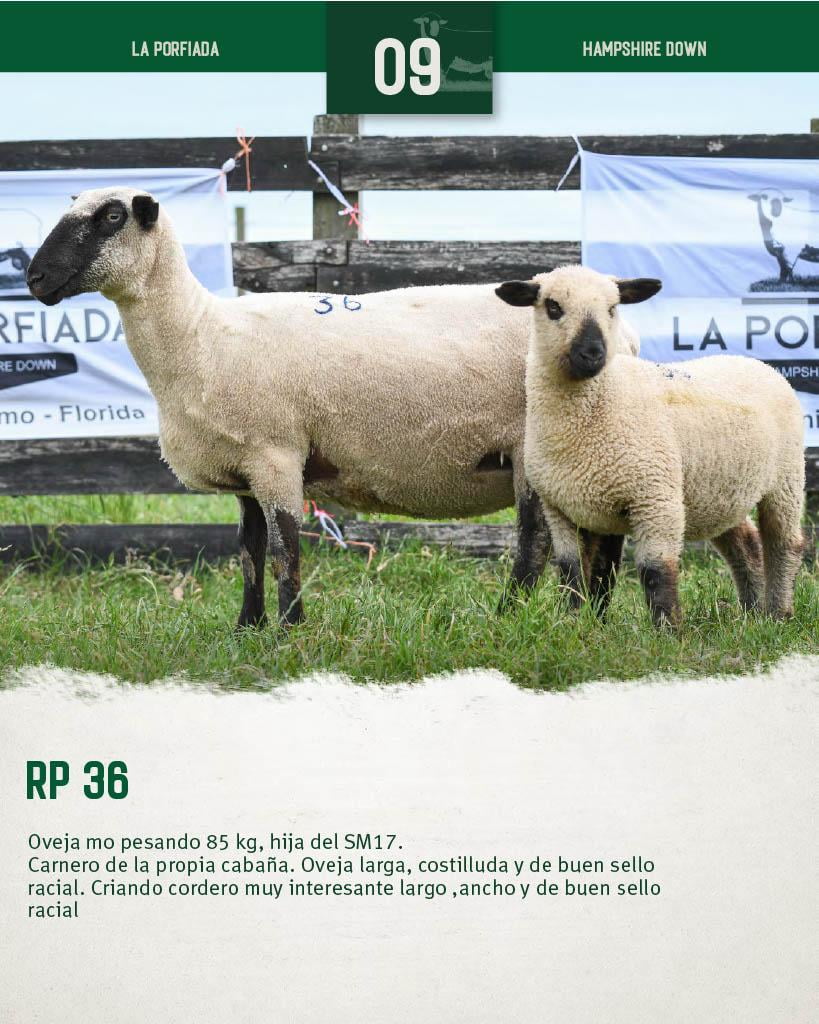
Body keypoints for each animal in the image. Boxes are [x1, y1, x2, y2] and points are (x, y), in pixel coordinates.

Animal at [26, 188, 641, 628]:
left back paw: (510, 617)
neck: (202, 336)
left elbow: (284, 550)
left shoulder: (275, 454)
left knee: (534, 543)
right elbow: (248, 551)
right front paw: (247, 628)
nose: (33, 278)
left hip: (537, 447)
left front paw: (290, 630)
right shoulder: (244, 464)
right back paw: (592, 617)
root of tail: (621, 333)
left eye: (110, 217)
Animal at [497, 265, 805, 628]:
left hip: (786, 479)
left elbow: (655, 571)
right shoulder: (560, 507)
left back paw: (779, 614)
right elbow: (572, 572)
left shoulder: (655, 497)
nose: (593, 353)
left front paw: (667, 630)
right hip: (718, 491)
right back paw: (751, 614)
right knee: (746, 543)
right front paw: (573, 622)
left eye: (613, 308)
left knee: (785, 543)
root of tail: (759, 364)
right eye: (553, 306)